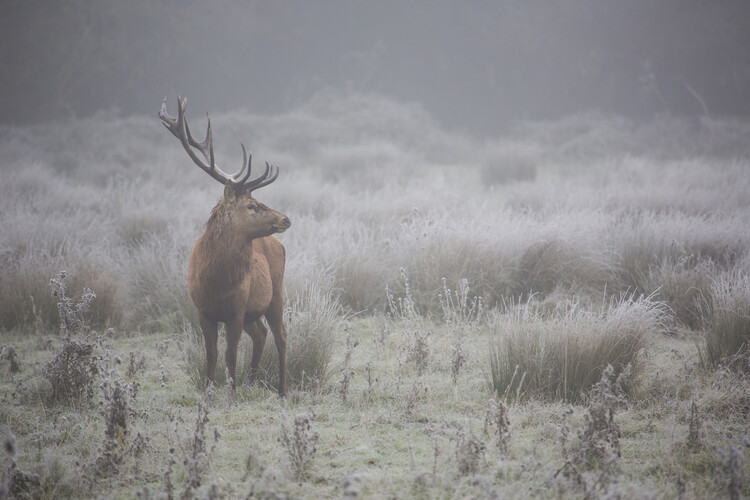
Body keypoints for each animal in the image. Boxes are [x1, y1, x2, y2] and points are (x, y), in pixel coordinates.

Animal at [159, 96, 291, 399]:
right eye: (251, 205)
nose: (285, 218)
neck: (216, 281)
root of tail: (278, 245)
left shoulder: (237, 310)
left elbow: (230, 355)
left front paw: (231, 395)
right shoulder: (203, 311)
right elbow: (212, 354)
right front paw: (210, 393)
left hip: (276, 293)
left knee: (281, 336)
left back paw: (282, 389)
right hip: (255, 311)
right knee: (262, 334)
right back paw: (252, 382)